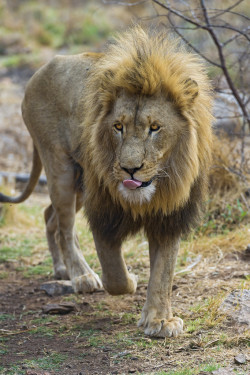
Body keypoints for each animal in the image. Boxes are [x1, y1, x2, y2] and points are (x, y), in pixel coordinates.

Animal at [0, 26, 214, 338]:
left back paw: (62, 270)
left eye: (155, 128)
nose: (130, 169)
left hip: (80, 183)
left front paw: (160, 320)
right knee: (65, 226)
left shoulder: (169, 215)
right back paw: (81, 275)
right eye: (118, 127)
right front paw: (133, 280)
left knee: (49, 215)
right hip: (61, 168)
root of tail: (42, 68)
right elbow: (115, 275)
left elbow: (164, 272)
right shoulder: (103, 210)